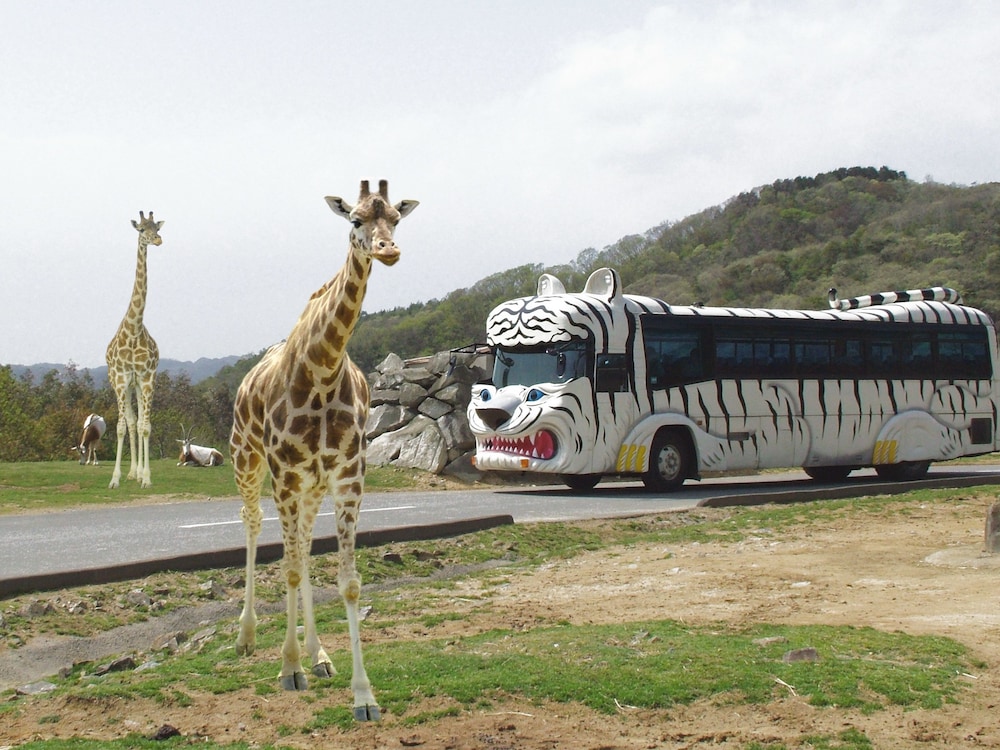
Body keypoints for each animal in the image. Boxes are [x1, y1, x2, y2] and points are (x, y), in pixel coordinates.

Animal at [230, 181, 418, 724]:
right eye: (354, 220)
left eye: (397, 218)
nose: (388, 250)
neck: (323, 366)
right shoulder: (285, 474)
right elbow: (289, 568)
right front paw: (288, 668)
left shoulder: (348, 476)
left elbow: (347, 580)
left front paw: (363, 695)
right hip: (247, 461)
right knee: (255, 529)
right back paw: (249, 637)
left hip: (311, 489)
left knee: (306, 547)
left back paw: (320, 655)